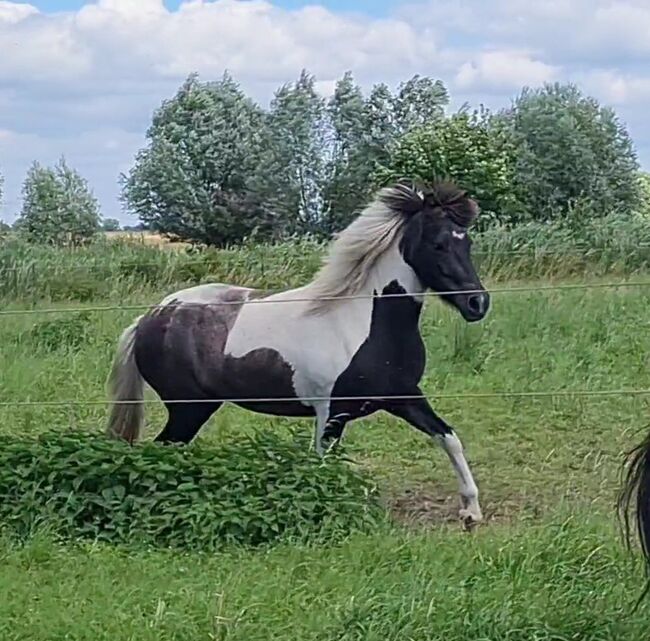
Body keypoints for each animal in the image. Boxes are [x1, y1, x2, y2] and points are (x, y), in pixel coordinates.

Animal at [106, 179, 488, 524]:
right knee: (161, 450)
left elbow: (449, 437)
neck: (365, 324)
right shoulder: (330, 413)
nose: (478, 303)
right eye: (438, 244)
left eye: (467, 242)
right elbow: (324, 465)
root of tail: (149, 317)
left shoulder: (404, 396)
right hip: (188, 409)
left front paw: (471, 511)